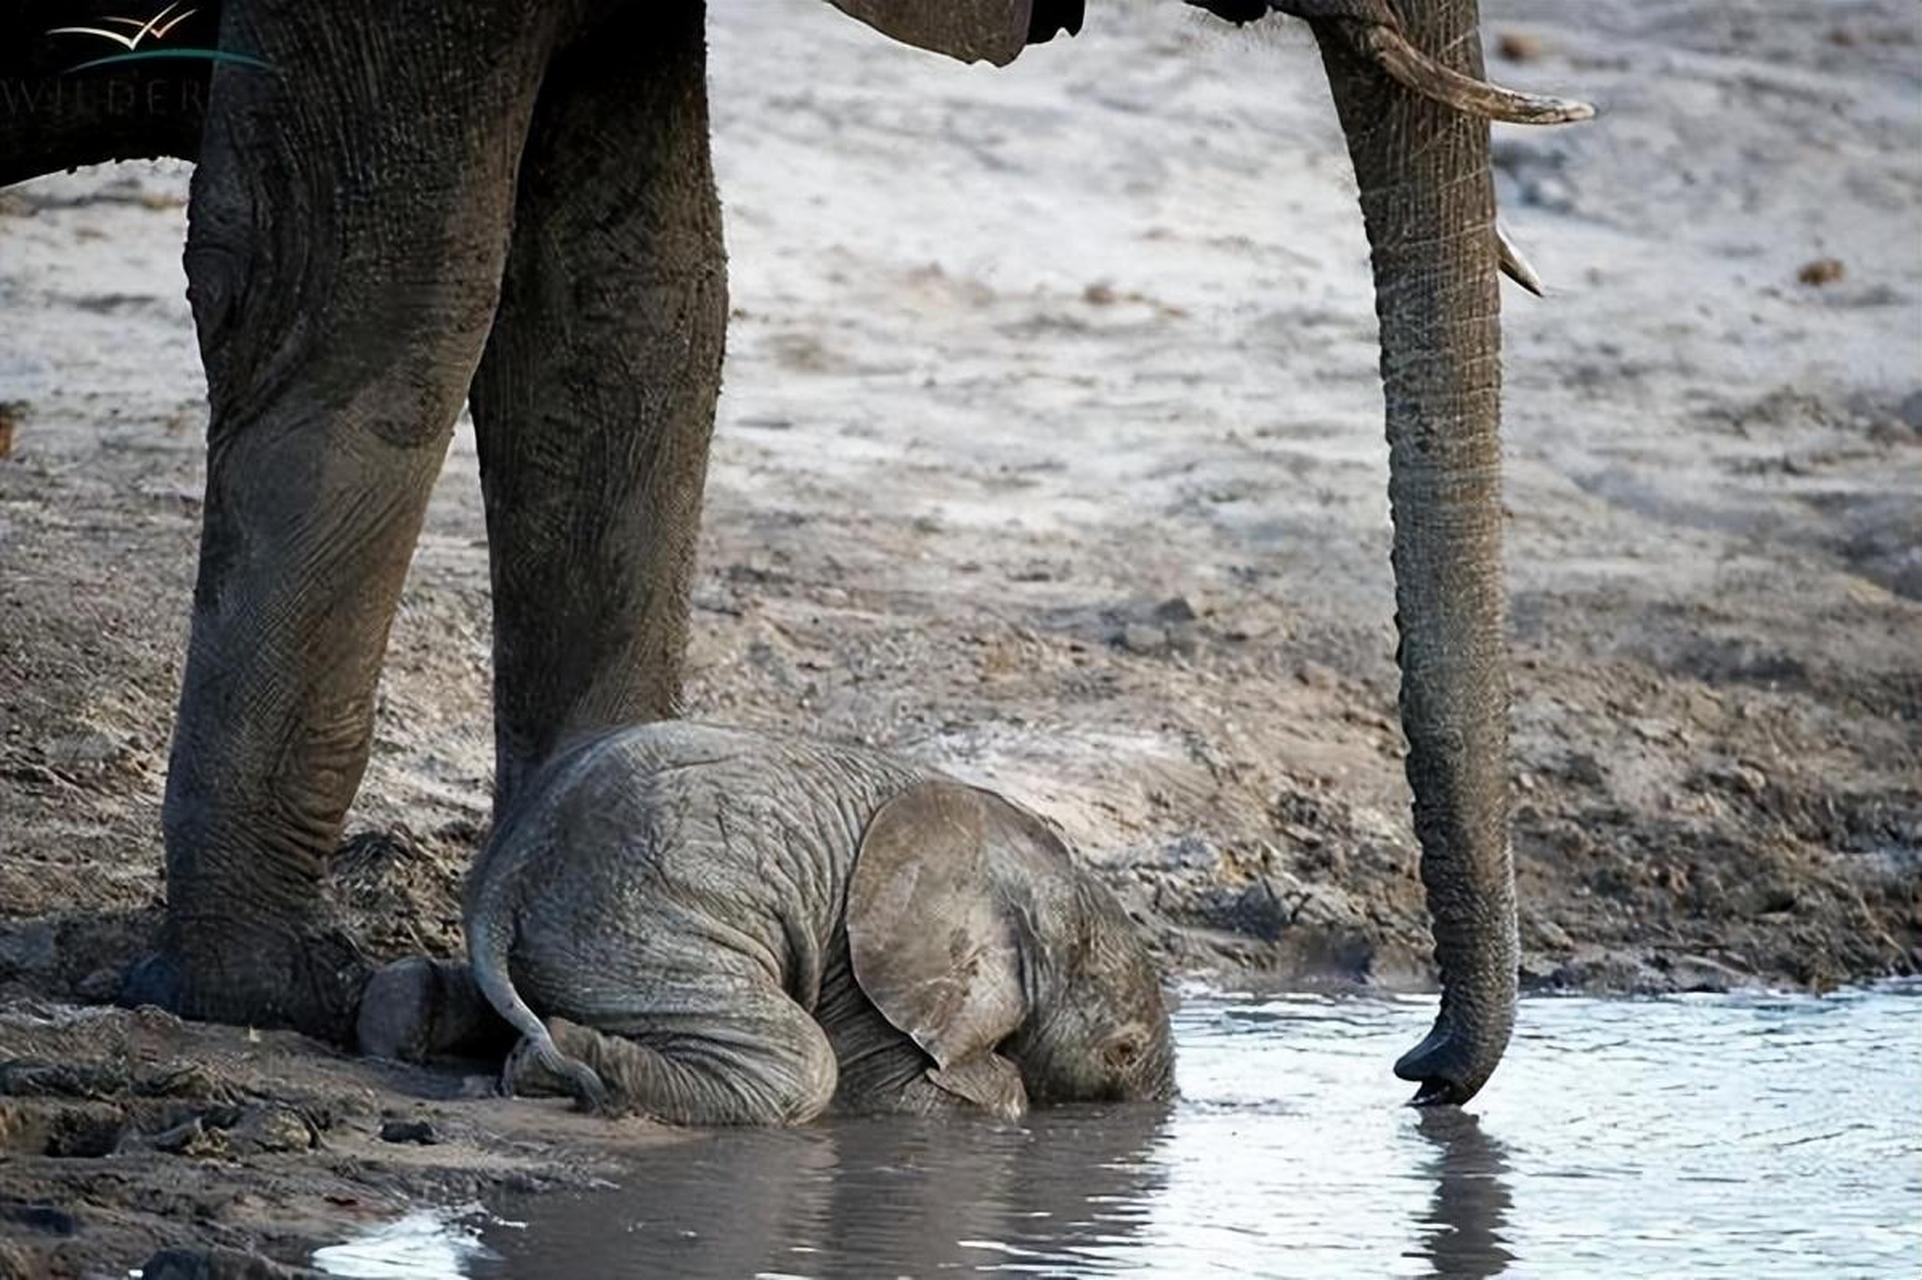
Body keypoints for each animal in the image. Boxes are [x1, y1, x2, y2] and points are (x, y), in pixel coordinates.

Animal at [359, 722, 1176, 1124]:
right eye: (1124, 1053)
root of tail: (508, 874)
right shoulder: (865, 968)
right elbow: (903, 1094)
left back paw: (404, 1016)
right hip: (650, 925)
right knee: (803, 1064)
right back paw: (559, 1062)